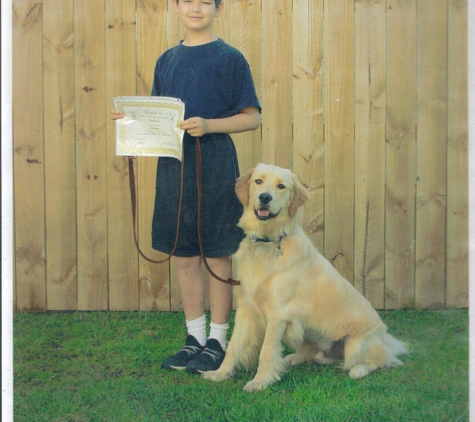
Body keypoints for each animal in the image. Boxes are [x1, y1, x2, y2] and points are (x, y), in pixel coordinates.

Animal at [203, 162, 408, 392]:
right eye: (258, 181)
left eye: (281, 186)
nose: (265, 197)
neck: (269, 241)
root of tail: (384, 337)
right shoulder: (246, 307)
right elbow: (234, 346)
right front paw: (220, 374)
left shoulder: (278, 314)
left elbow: (267, 351)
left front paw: (260, 382)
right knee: (315, 355)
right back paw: (290, 359)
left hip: (357, 344)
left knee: (383, 361)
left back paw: (359, 369)